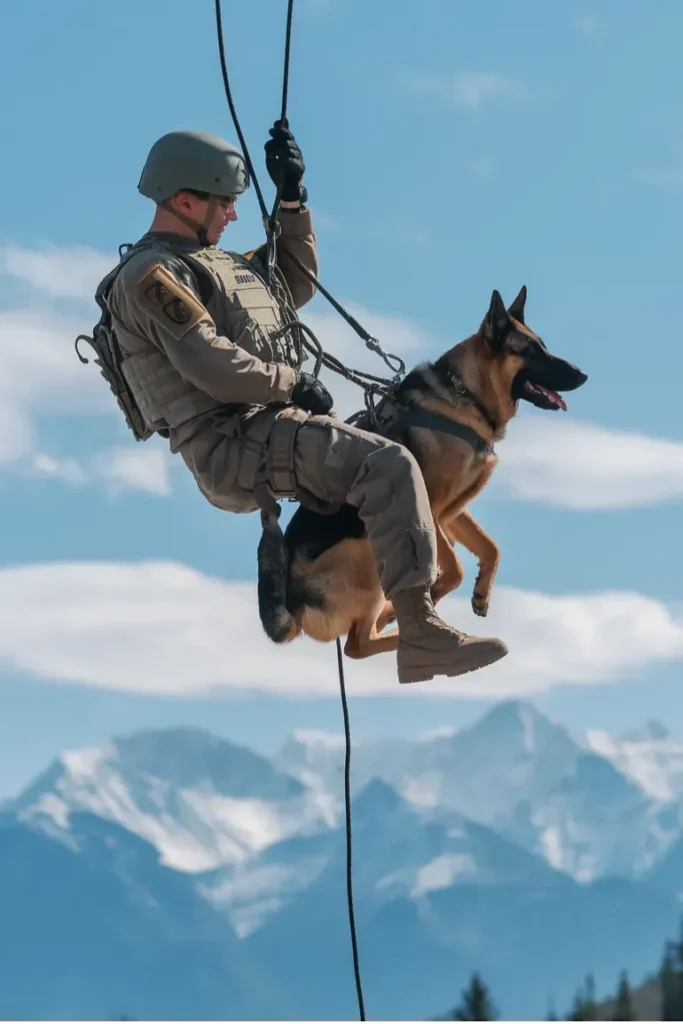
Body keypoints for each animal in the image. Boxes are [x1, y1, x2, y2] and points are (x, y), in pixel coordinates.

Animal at [255, 284, 589, 659]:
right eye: (530, 350)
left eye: (543, 345)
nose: (583, 375)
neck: (466, 395)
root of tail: (294, 606)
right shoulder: (427, 505)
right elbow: (453, 567)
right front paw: (433, 596)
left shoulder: (451, 511)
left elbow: (490, 547)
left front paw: (481, 592)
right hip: (366, 551)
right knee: (358, 644)